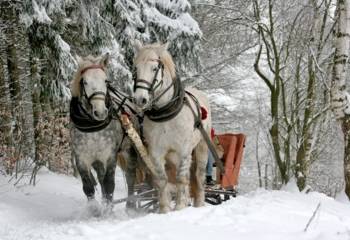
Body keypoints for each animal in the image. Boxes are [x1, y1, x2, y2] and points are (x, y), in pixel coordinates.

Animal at [133, 42, 211, 213]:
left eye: (154, 68)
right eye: (136, 68)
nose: (140, 99)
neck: (166, 114)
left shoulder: (184, 150)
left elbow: (181, 179)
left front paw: (180, 207)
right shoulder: (156, 153)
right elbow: (162, 181)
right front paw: (165, 209)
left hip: (201, 147)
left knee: (199, 176)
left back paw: (199, 203)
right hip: (172, 157)